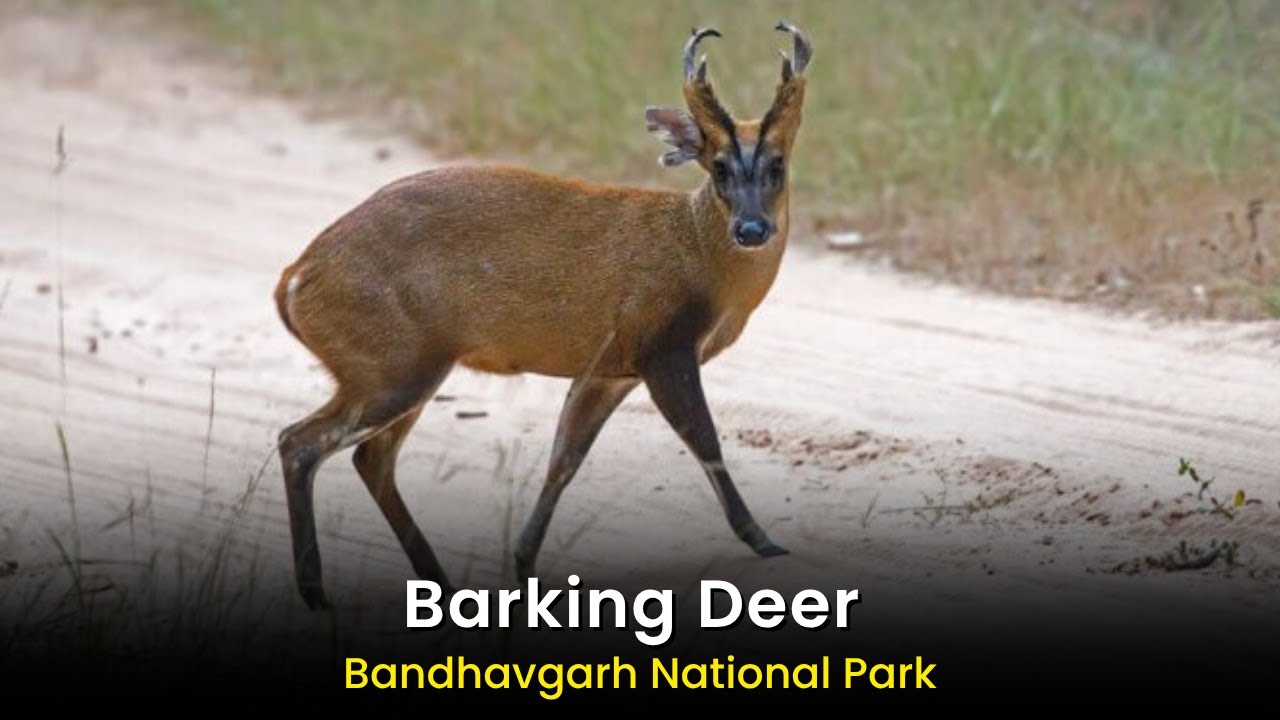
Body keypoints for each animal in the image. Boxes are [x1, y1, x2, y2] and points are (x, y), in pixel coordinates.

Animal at [274, 22, 813, 609]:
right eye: (717, 167)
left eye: (778, 165)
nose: (752, 229)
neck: (699, 261)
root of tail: (296, 279)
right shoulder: (662, 343)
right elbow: (705, 440)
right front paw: (764, 541)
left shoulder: (608, 369)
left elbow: (563, 460)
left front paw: (523, 559)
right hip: (390, 363)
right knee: (301, 442)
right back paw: (315, 591)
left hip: (400, 367)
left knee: (369, 458)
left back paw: (436, 579)